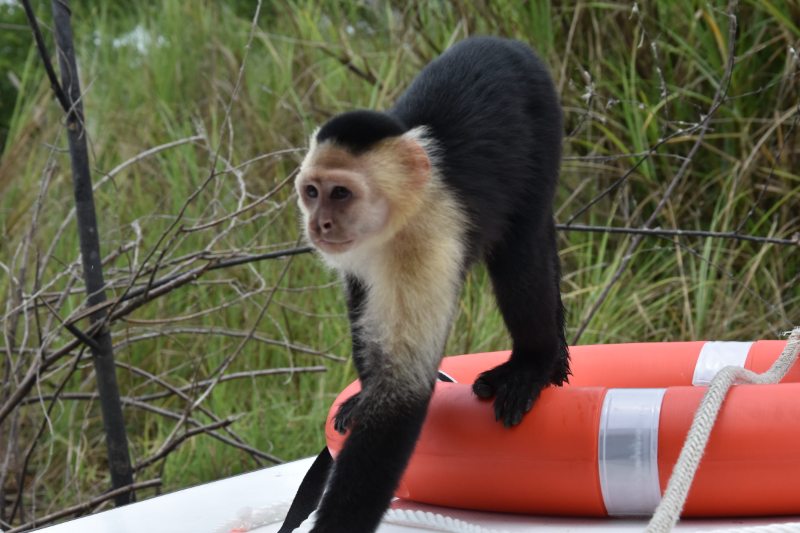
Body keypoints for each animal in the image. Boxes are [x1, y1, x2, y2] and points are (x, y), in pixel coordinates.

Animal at [292, 36, 569, 533]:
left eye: (341, 193)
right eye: (312, 192)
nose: (319, 224)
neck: (398, 214)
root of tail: (506, 42)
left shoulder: (422, 245)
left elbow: (403, 396)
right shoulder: (358, 254)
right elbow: (361, 302)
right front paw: (364, 395)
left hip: (543, 117)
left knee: (519, 249)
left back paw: (533, 364)